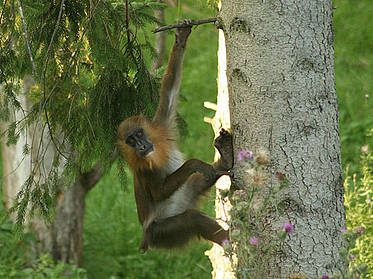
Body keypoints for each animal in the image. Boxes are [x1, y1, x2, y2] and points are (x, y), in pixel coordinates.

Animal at [117, 22, 231, 254]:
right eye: (130, 141)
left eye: (139, 134)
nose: (141, 146)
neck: (155, 150)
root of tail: (146, 238)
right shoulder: (144, 168)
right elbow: (159, 192)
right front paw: (194, 163)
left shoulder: (162, 125)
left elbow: (169, 88)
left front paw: (181, 37)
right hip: (162, 233)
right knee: (192, 219)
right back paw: (232, 241)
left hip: (185, 197)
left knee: (200, 182)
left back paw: (225, 159)